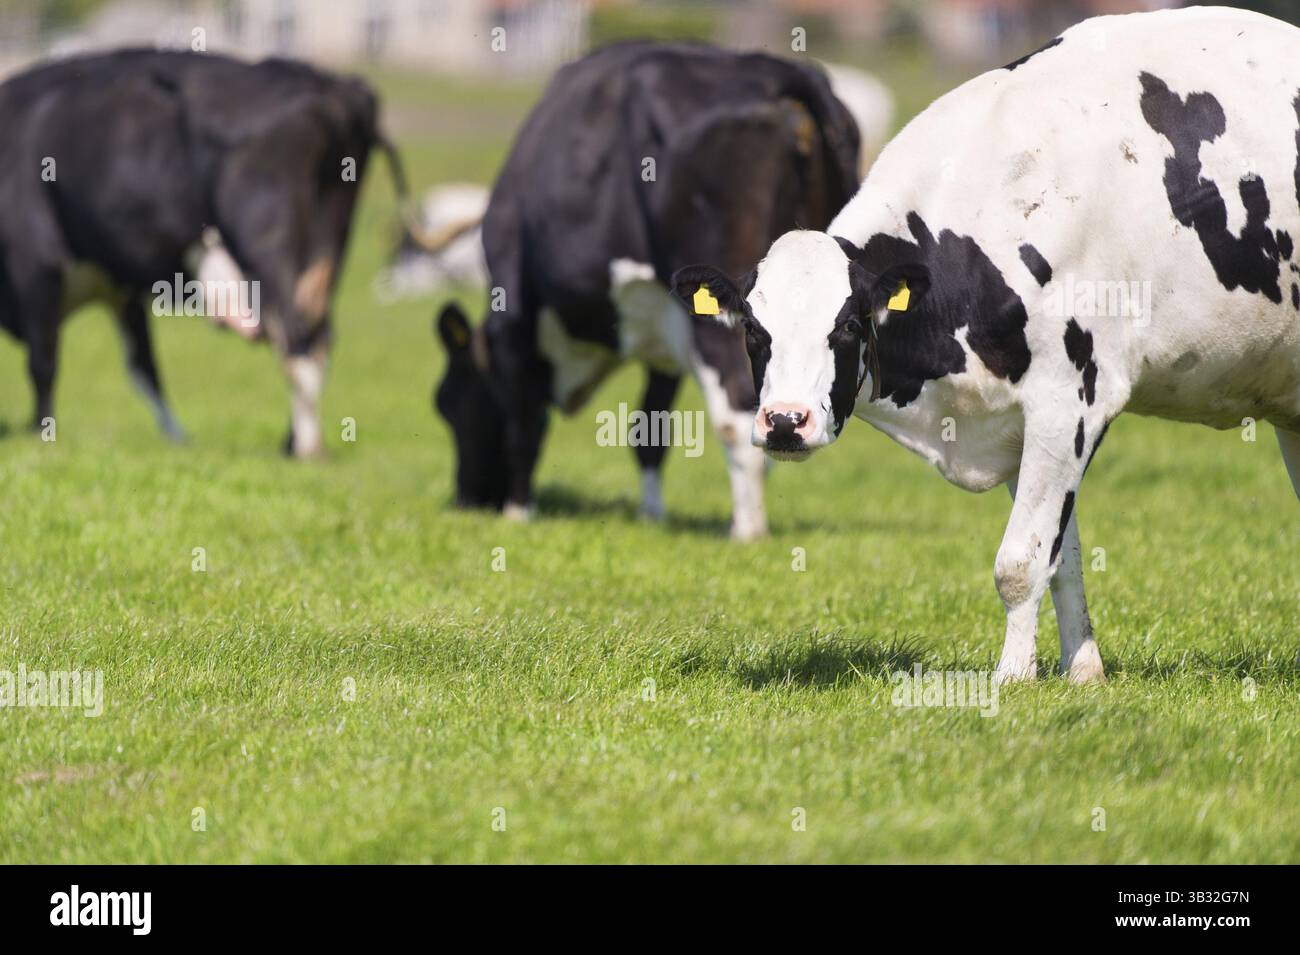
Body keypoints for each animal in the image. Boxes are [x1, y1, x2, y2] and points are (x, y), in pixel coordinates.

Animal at [0, 49, 413, 456]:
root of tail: (332, 87)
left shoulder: (36, 265)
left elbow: (43, 363)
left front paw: (40, 433)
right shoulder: (121, 288)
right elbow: (144, 368)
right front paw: (177, 439)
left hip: (266, 244)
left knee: (297, 342)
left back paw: (307, 449)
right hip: (327, 247)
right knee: (318, 337)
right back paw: (292, 441)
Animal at [435, 41, 860, 540]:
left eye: (448, 403)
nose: (467, 499)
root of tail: (775, 70)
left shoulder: (513, 318)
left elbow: (525, 424)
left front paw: (518, 513)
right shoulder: (667, 329)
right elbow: (648, 429)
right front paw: (650, 516)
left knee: (737, 411)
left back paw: (746, 530)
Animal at [671, 7, 1300, 681]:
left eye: (847, 326)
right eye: (753, 329)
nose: (785, 422)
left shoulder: (1070, 402)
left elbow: (1020, 562)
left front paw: (1012, 679)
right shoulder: (1018, 424)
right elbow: (1061, 559)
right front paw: (1082, 672)